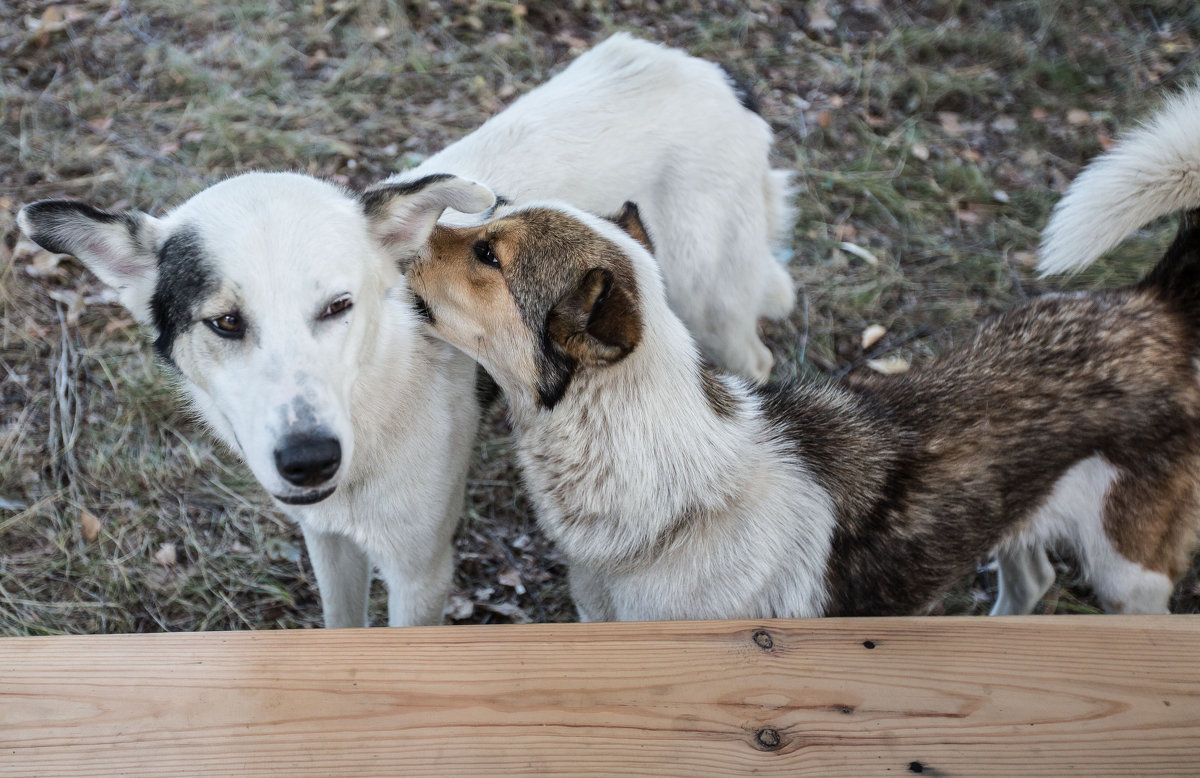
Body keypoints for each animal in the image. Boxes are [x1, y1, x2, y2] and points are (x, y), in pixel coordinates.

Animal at [14, 34, 796, 624]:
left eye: (338, 306)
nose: (309, 461)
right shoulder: (328, 543)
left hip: (711, 302)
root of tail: (712, 73)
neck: (374, 396)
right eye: (226, 322)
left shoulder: (421, 572)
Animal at [396, 88, 1200, 619]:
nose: (388, 222)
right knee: (1032, 583)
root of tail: (1150, 303)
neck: (668, 486)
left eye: (489, 254)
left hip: (1131, 579)